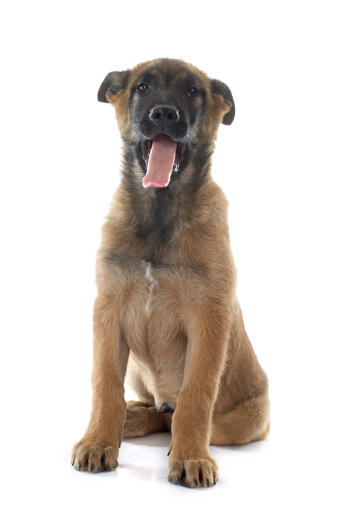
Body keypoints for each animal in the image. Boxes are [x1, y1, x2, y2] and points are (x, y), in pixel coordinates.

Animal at [72, 58, 270, 490]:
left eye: (193, 91)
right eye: (143, 88)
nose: (164, 114)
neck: (159, 216)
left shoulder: (209, 318)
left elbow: (196, 398)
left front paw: (191, 457)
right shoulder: (108, 312)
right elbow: (103, 385)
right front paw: (98, 441)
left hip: (252, 418)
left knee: (181, 417)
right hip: (137, 370)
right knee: (156, 408)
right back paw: (131, 417)